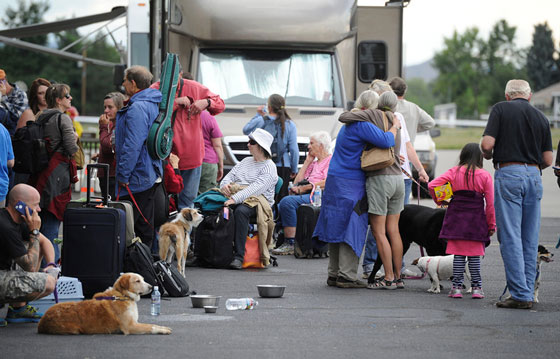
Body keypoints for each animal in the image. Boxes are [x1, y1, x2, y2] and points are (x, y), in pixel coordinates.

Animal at [38, 274, 172, 336]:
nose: (151, 287)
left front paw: (163, 327)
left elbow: (152, 324)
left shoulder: (135, 322)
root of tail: (41, 322)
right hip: (74, 329)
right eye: (137, 281)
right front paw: (162, 330)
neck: (123, 295)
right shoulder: (130, 326)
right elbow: (150, 327)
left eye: (143, 279)